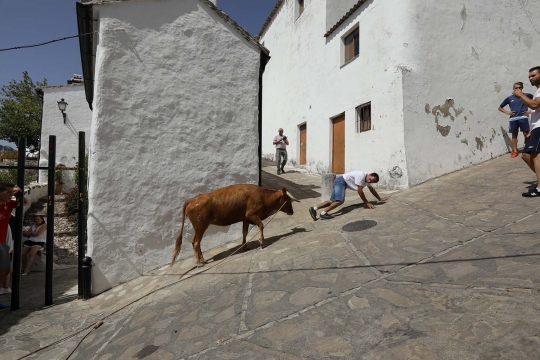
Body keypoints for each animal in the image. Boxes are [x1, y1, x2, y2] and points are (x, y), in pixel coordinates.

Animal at [172, 186, 300, 268]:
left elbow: (244, 232)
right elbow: (261, 225)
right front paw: (261, 241)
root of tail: (192, 200)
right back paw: (198, 263)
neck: (262, 196)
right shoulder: (251, 215)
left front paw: (244, 246)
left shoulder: (245, 218)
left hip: (200, 227)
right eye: (288, 200)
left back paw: (202, 259)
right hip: (200, 225)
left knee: (197, 242)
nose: (292, 211)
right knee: (196, 242)